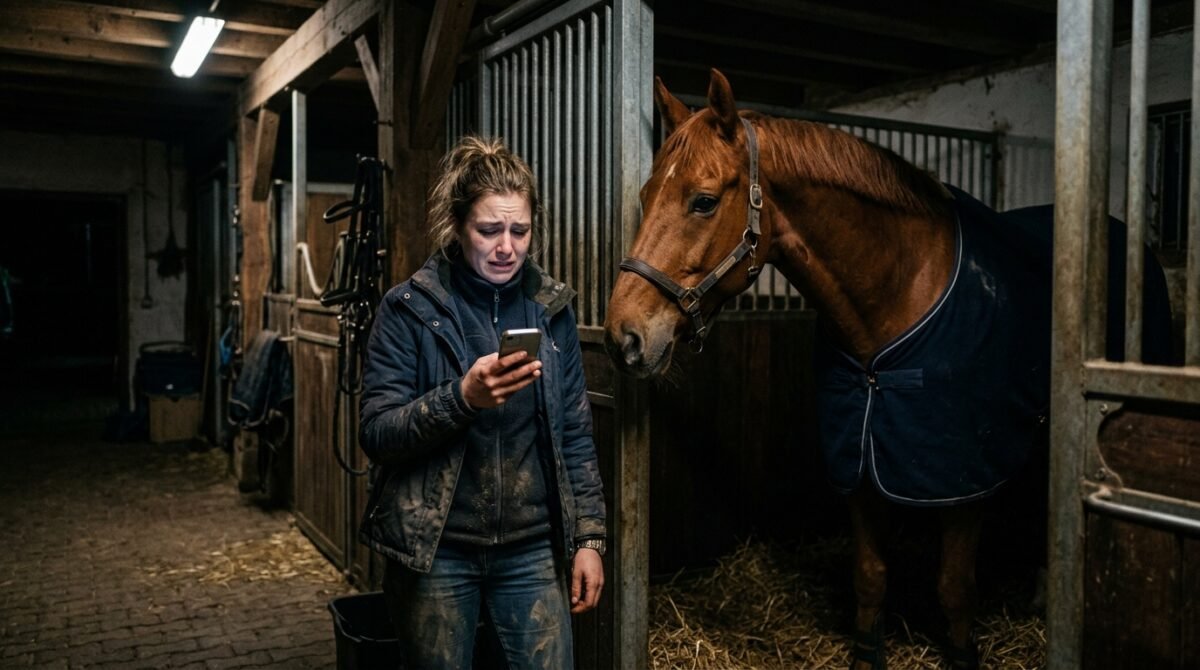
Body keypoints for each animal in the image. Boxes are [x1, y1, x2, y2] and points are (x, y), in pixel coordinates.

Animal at [602, 69, 1172, 670]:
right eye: (645, 196)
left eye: (704, 201)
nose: (622, 336)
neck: (897, 289)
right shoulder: (860, 460)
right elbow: (871, 576)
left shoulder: (961, 481)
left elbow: (954, 587)